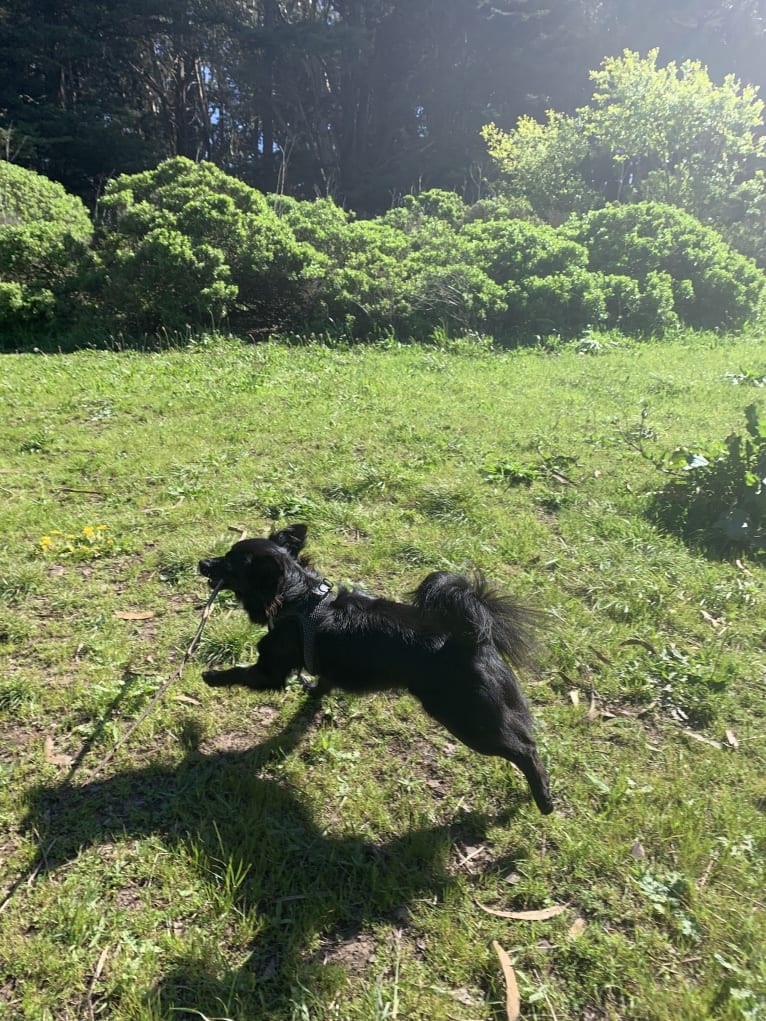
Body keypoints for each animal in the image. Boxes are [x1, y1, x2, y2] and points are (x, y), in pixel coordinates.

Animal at [201, 526, 555, 812]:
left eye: (229, 563)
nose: (202, 563)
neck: (296, 599)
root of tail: (473, 638)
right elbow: (323, 683)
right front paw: (314, 693)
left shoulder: (271, 670)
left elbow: (242, 673)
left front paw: (212, 676)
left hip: (467, 720)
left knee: (525, 749)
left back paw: (544, 800)